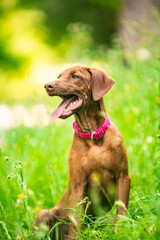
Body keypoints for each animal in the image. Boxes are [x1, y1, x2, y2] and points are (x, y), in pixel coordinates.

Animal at [35, 66, 131, 240]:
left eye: (75, 76)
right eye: (59, 76)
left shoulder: (123, 177)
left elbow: (121, 211)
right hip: (43, 214)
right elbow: (76, 221)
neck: (93, 136)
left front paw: (121, 233)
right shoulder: (78, 185)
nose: (47, 85)